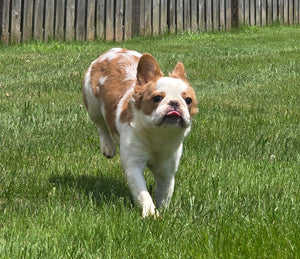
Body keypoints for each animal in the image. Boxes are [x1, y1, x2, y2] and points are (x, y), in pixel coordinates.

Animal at [83, 48, 198, 217]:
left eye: (188, 101)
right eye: (157, 98)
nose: (174, 103)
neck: (158, 135)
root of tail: (113, 51)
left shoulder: (167, 170)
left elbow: (165, 192)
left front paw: (163, 211)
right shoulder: (133, 164)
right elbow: (142, 193)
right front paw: (151, 214)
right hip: (93, 105)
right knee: (101, 125)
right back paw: (108, 147)